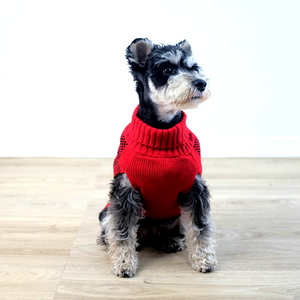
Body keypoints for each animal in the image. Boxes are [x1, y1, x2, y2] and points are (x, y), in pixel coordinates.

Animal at [99, 38, 217, 278]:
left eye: (193, 67)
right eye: (167, 69)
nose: (201, 83)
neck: (162, 131)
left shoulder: (195, 188)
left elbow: (201, 227)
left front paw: (204, 259)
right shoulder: (125, 192)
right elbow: (122, 232)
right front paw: (123, 264)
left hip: (175, 216)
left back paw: (171, 240)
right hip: (106, 213)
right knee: (116, 231)